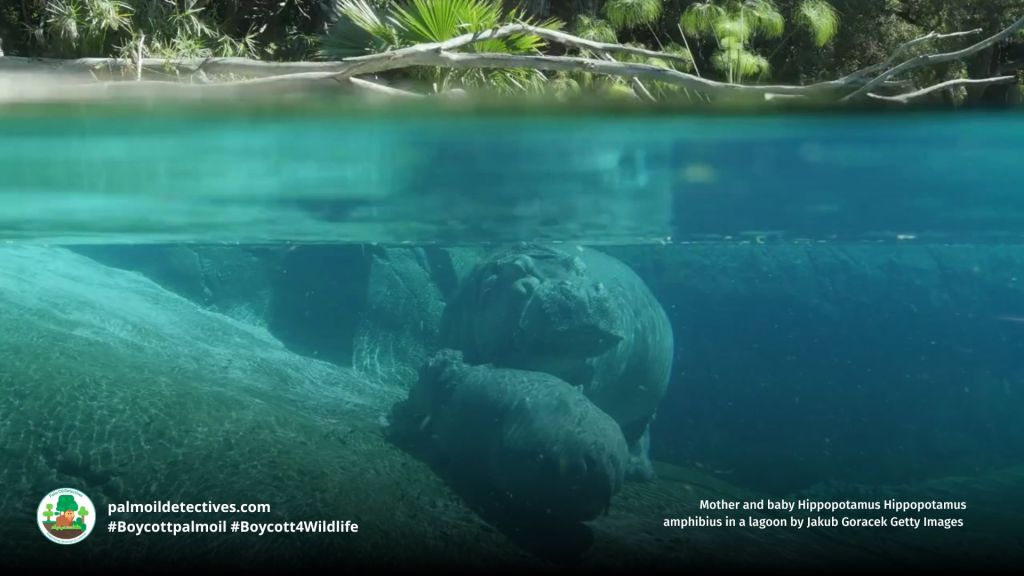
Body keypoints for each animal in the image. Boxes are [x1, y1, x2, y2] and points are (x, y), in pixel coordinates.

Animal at [441, 244, 673, 480]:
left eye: (580, 268)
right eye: (518, 268)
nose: (582, 289)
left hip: (648, 403)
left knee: (638, 432)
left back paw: (637, 469)